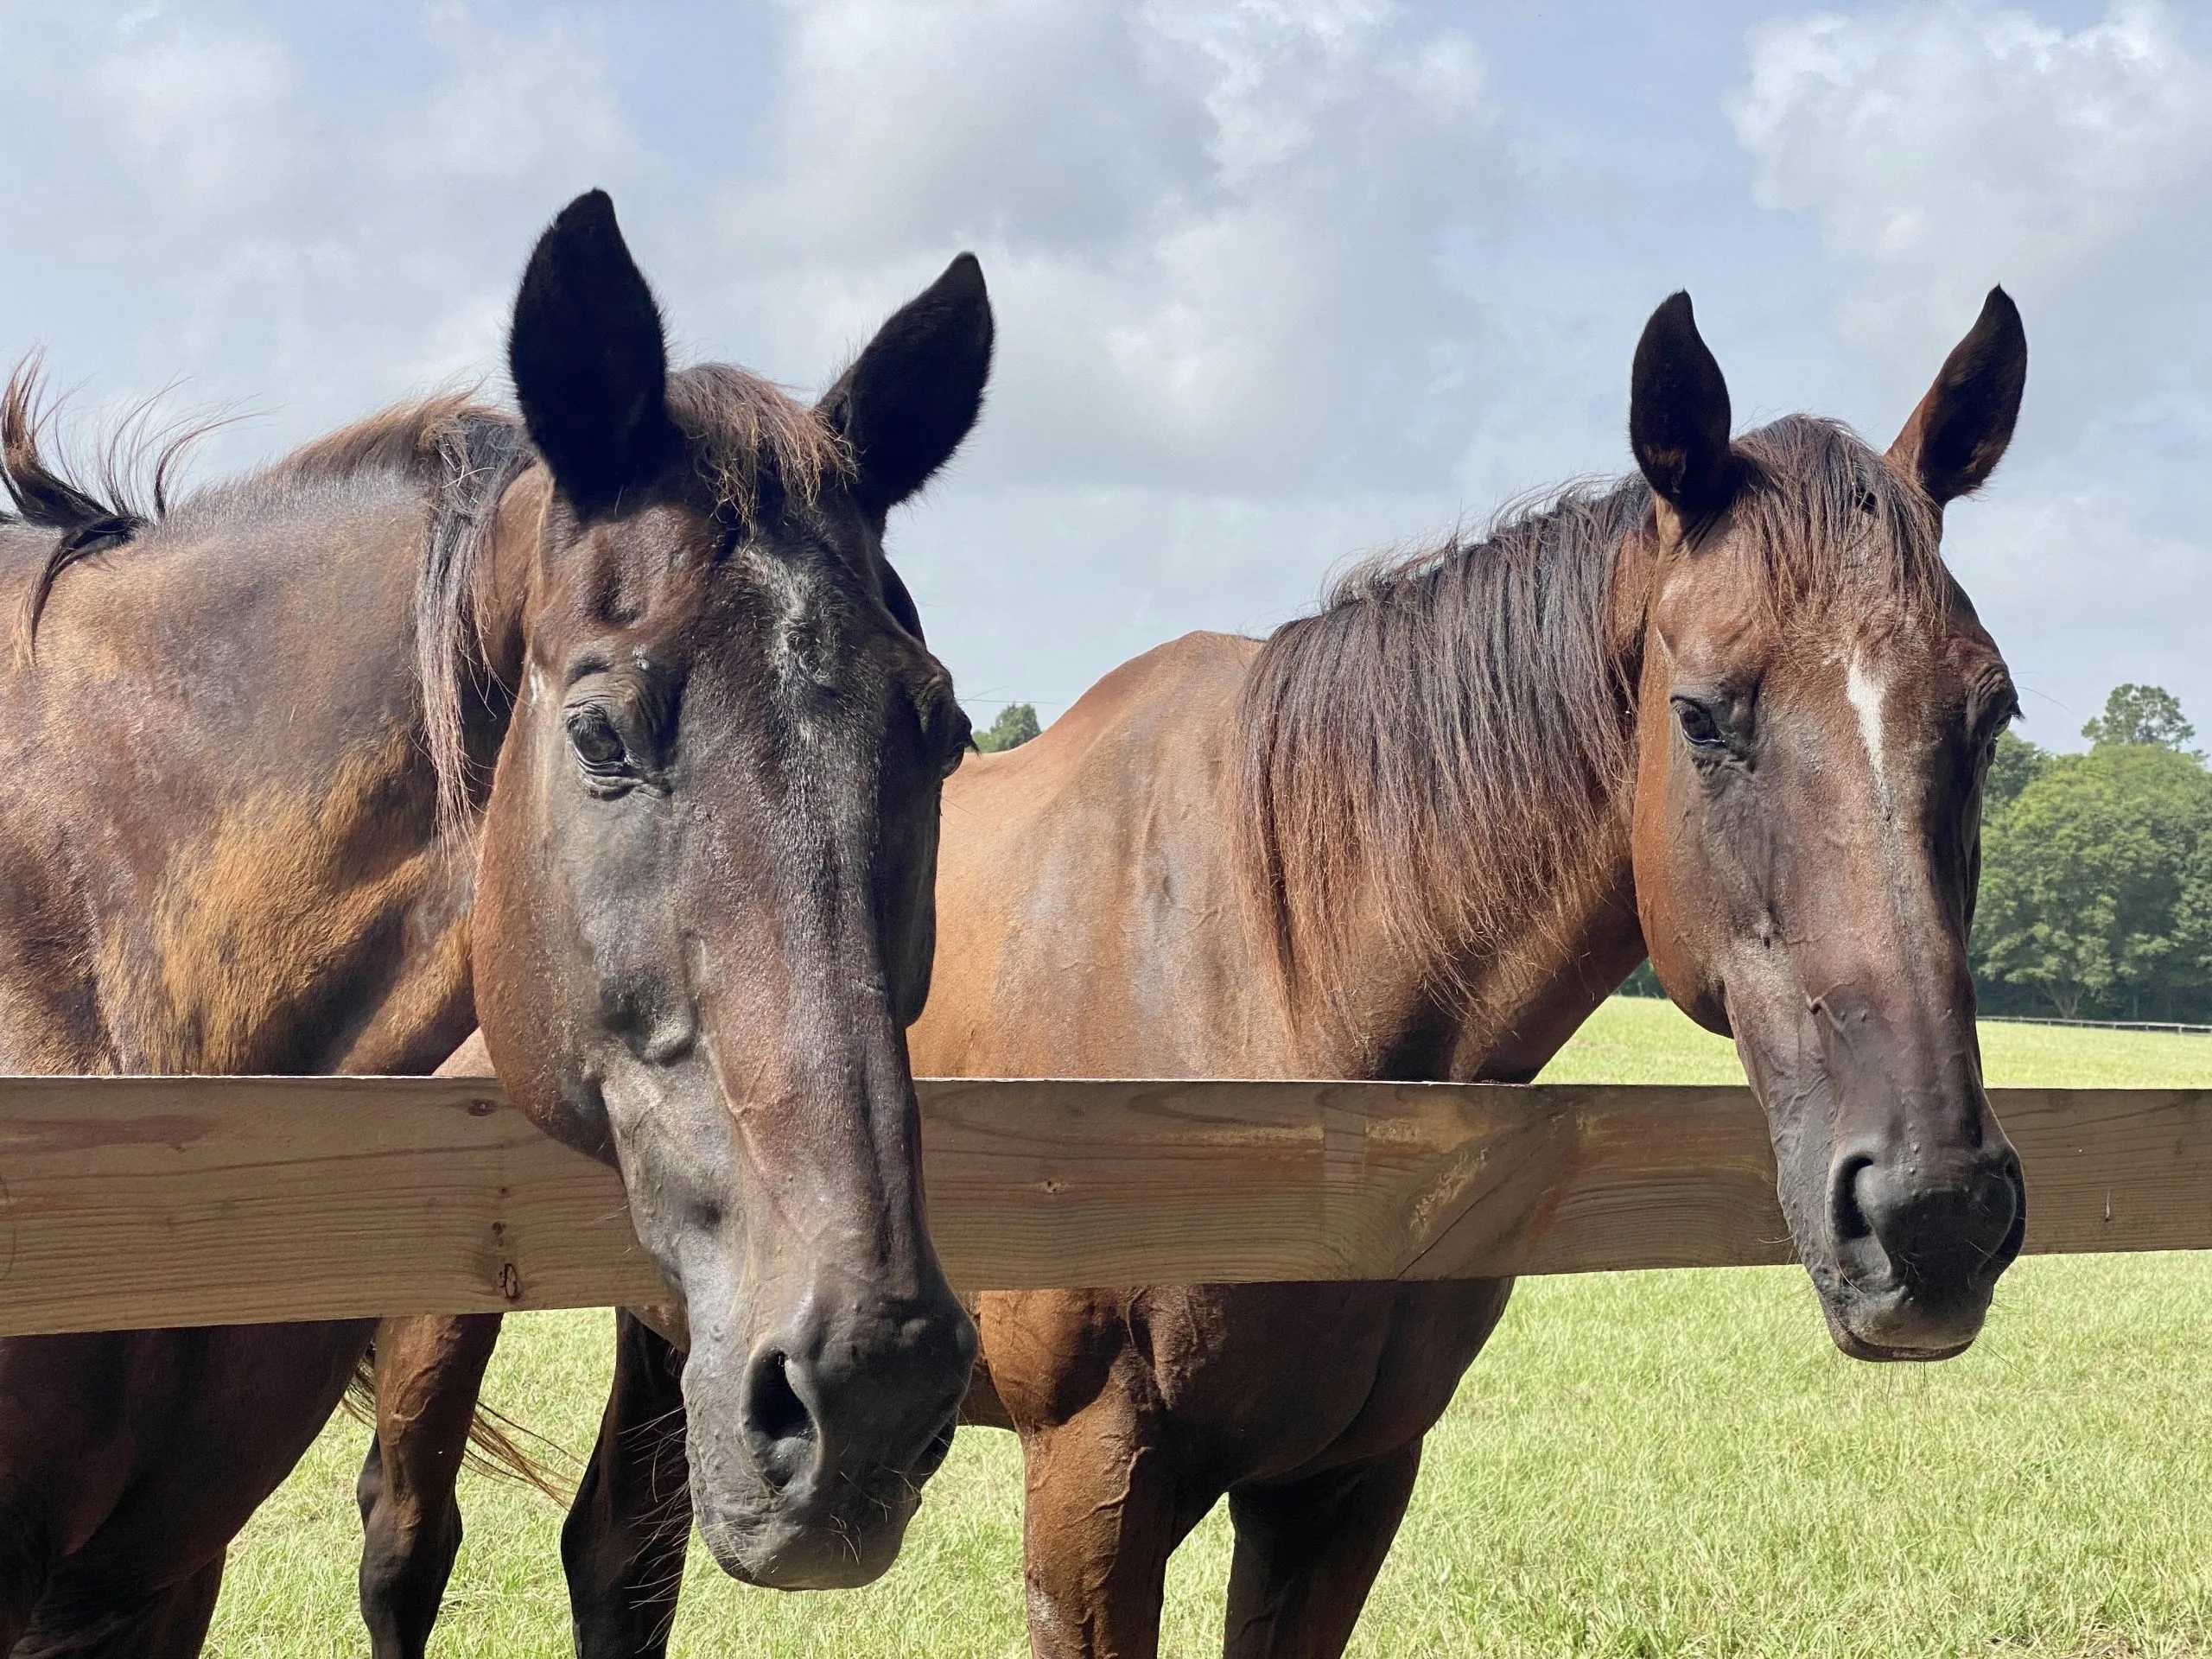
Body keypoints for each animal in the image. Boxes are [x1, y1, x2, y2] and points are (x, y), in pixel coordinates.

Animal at [502, 283, 2033, 1658]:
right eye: (1704, 715)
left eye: (1992, 711)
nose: (1934, 1217)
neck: (1282, 1002)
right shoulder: (1094, 1484)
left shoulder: (1343, 1489)